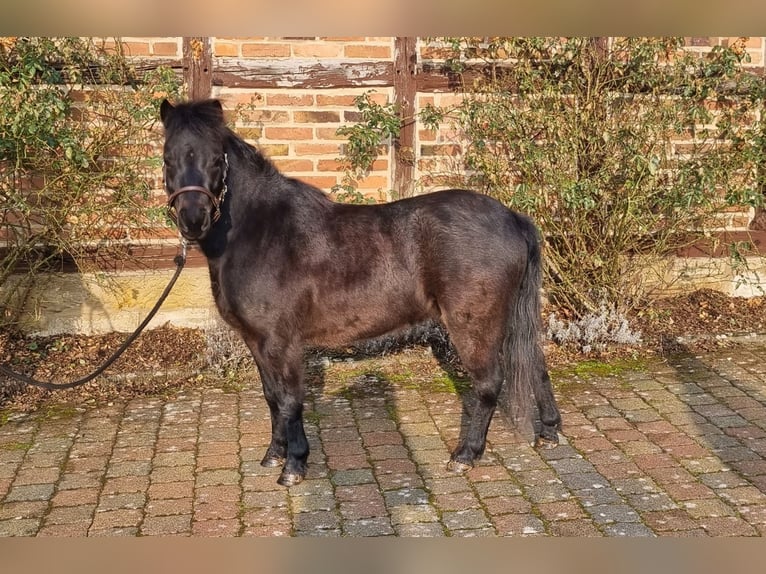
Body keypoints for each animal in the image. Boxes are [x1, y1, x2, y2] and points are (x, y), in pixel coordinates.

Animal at [160, 98, 564, 486]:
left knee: (489, 382)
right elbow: (271, 396)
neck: (260, 232)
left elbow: (290, 400)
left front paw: (294, 465)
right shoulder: (256, 340)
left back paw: (465, 455)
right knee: (536, 364)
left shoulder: (280, 341)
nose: (193, 219)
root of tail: (513, 218)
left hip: (474, 324)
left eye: (216, 159)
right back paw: (549, 432)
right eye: (167, 157)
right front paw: (274, 454)